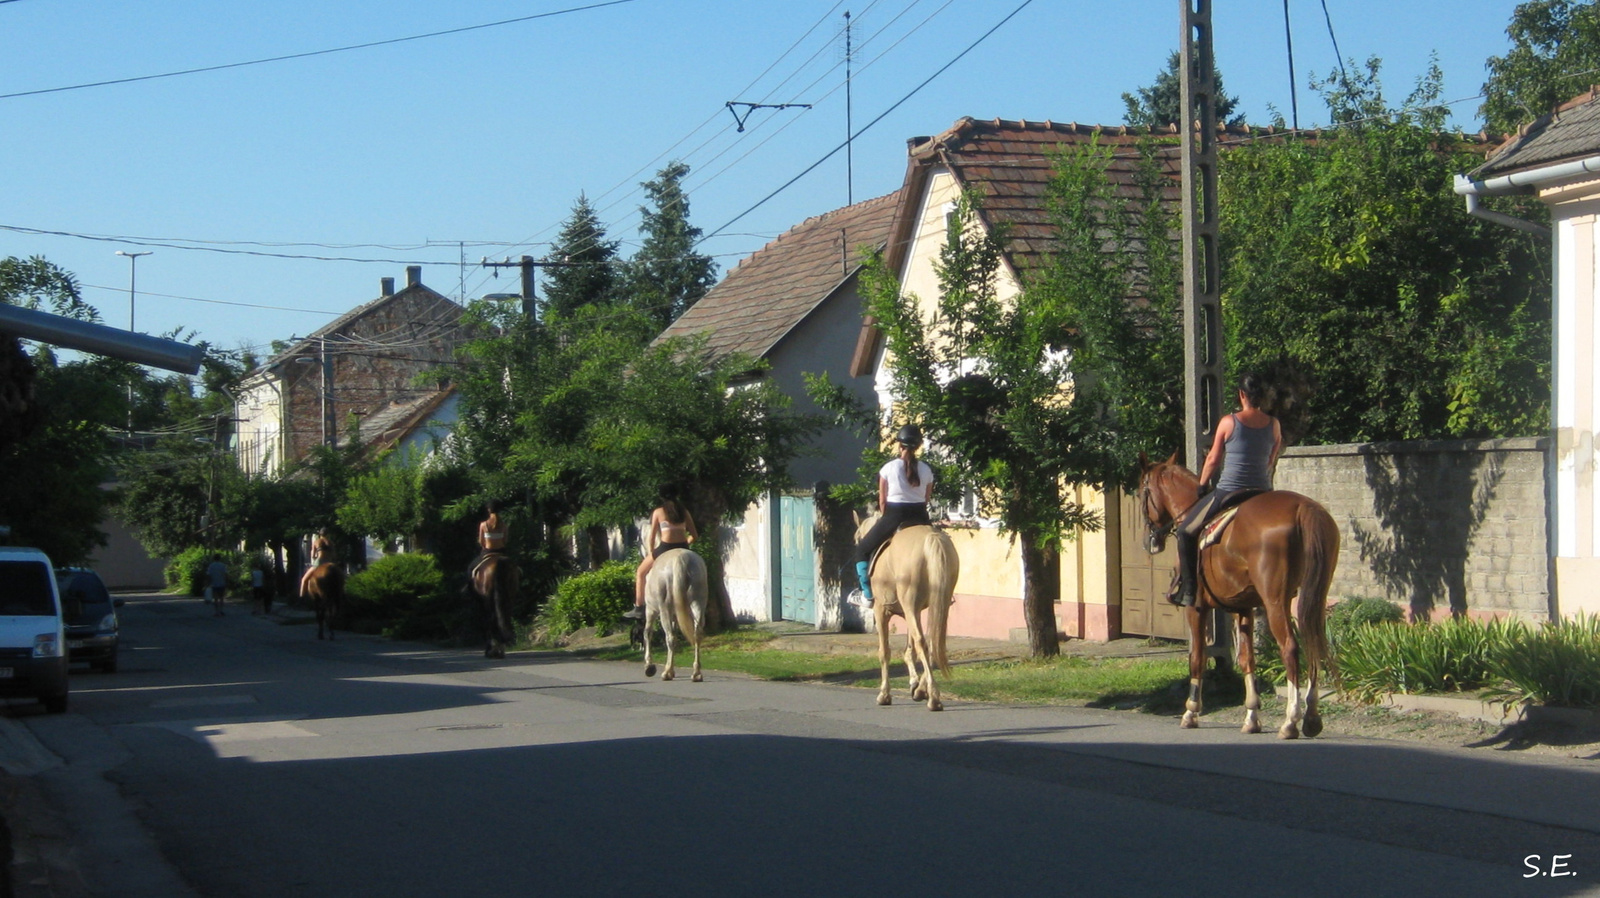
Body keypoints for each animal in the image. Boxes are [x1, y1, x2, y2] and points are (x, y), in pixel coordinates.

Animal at [643, 547, 707, 678]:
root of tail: (681, 559)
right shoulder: (674, 617)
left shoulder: (650, 610)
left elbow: (647, 633)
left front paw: (649, 665)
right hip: (698, 604)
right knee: (697, 635)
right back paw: (696, 673)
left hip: (664, 610)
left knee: (670, 638)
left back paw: (667, 672)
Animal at [857, 515, 953, 710]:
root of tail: (931, 537)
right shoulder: (911, 612)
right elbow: (909, 650)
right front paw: (915, 684)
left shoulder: (881, 611)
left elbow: (885, 651)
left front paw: (884, 695)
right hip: (937, 604)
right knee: (934, 643)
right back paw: (924, 691)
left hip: (909, 605)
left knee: (922, 642)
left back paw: (933, 697)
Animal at [1132, 451, 1344, 739]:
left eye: (1141, 493)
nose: (1149, 541)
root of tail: (1303, 508)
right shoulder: (1242, 608)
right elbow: (1246, 658)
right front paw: (1252, 716)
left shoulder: (1196, 607)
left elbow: (1197, 657)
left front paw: (1191, 712)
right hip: (1312, 598)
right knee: (1314, 643)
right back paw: (1311, 718)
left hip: (1276, 601)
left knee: (1290, 647)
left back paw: (1291, 720)